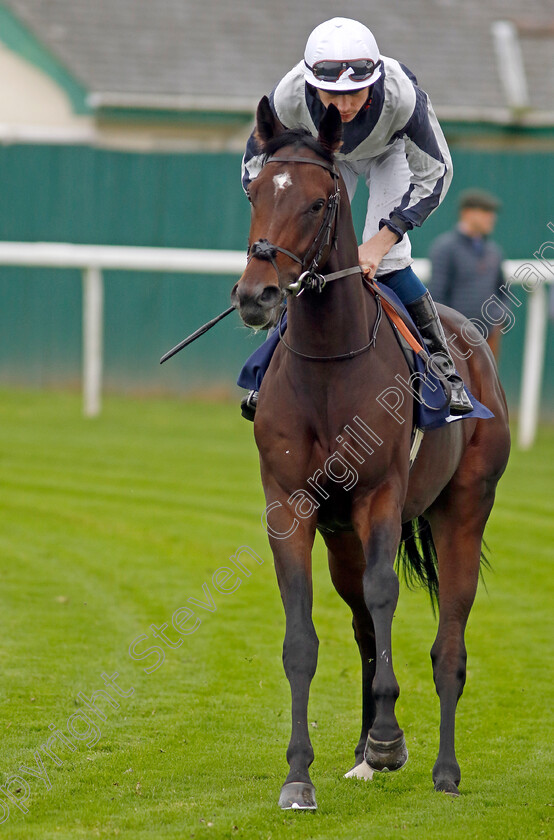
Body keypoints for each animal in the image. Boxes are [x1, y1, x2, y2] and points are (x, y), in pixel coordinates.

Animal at [229, 97, 508, 808]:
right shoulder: (291, 505)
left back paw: (441, 768)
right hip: (341, 538)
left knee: (448, 642)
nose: (256, 295)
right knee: (360, 627)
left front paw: (387, 739)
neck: (329, 362)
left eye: (316, 202)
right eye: (256, 194)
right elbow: (302, 636)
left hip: (463, 510)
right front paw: (299, 776)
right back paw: (361, 755)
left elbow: (386, 599)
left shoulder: (381, 495)